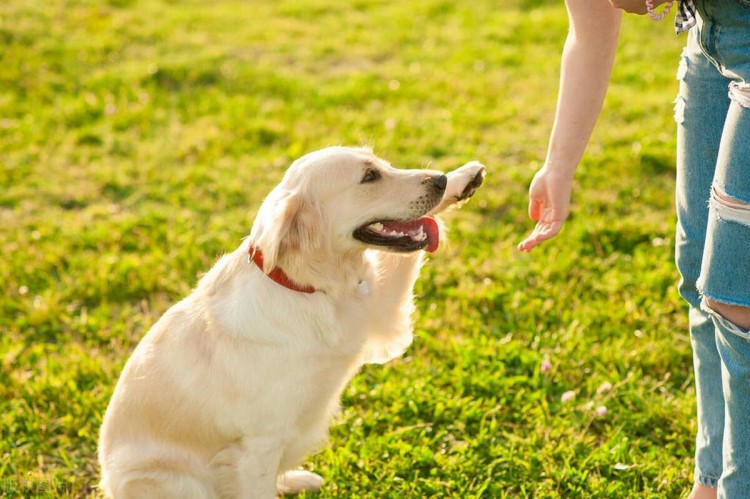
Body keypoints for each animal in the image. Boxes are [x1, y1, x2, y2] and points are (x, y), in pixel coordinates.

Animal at [98, 146, 488, 498]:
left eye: (384, 164)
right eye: (369, 177)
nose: (438, 180)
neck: (311, 288)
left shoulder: (380, 312)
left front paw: (462, 178)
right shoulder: (255, 446)